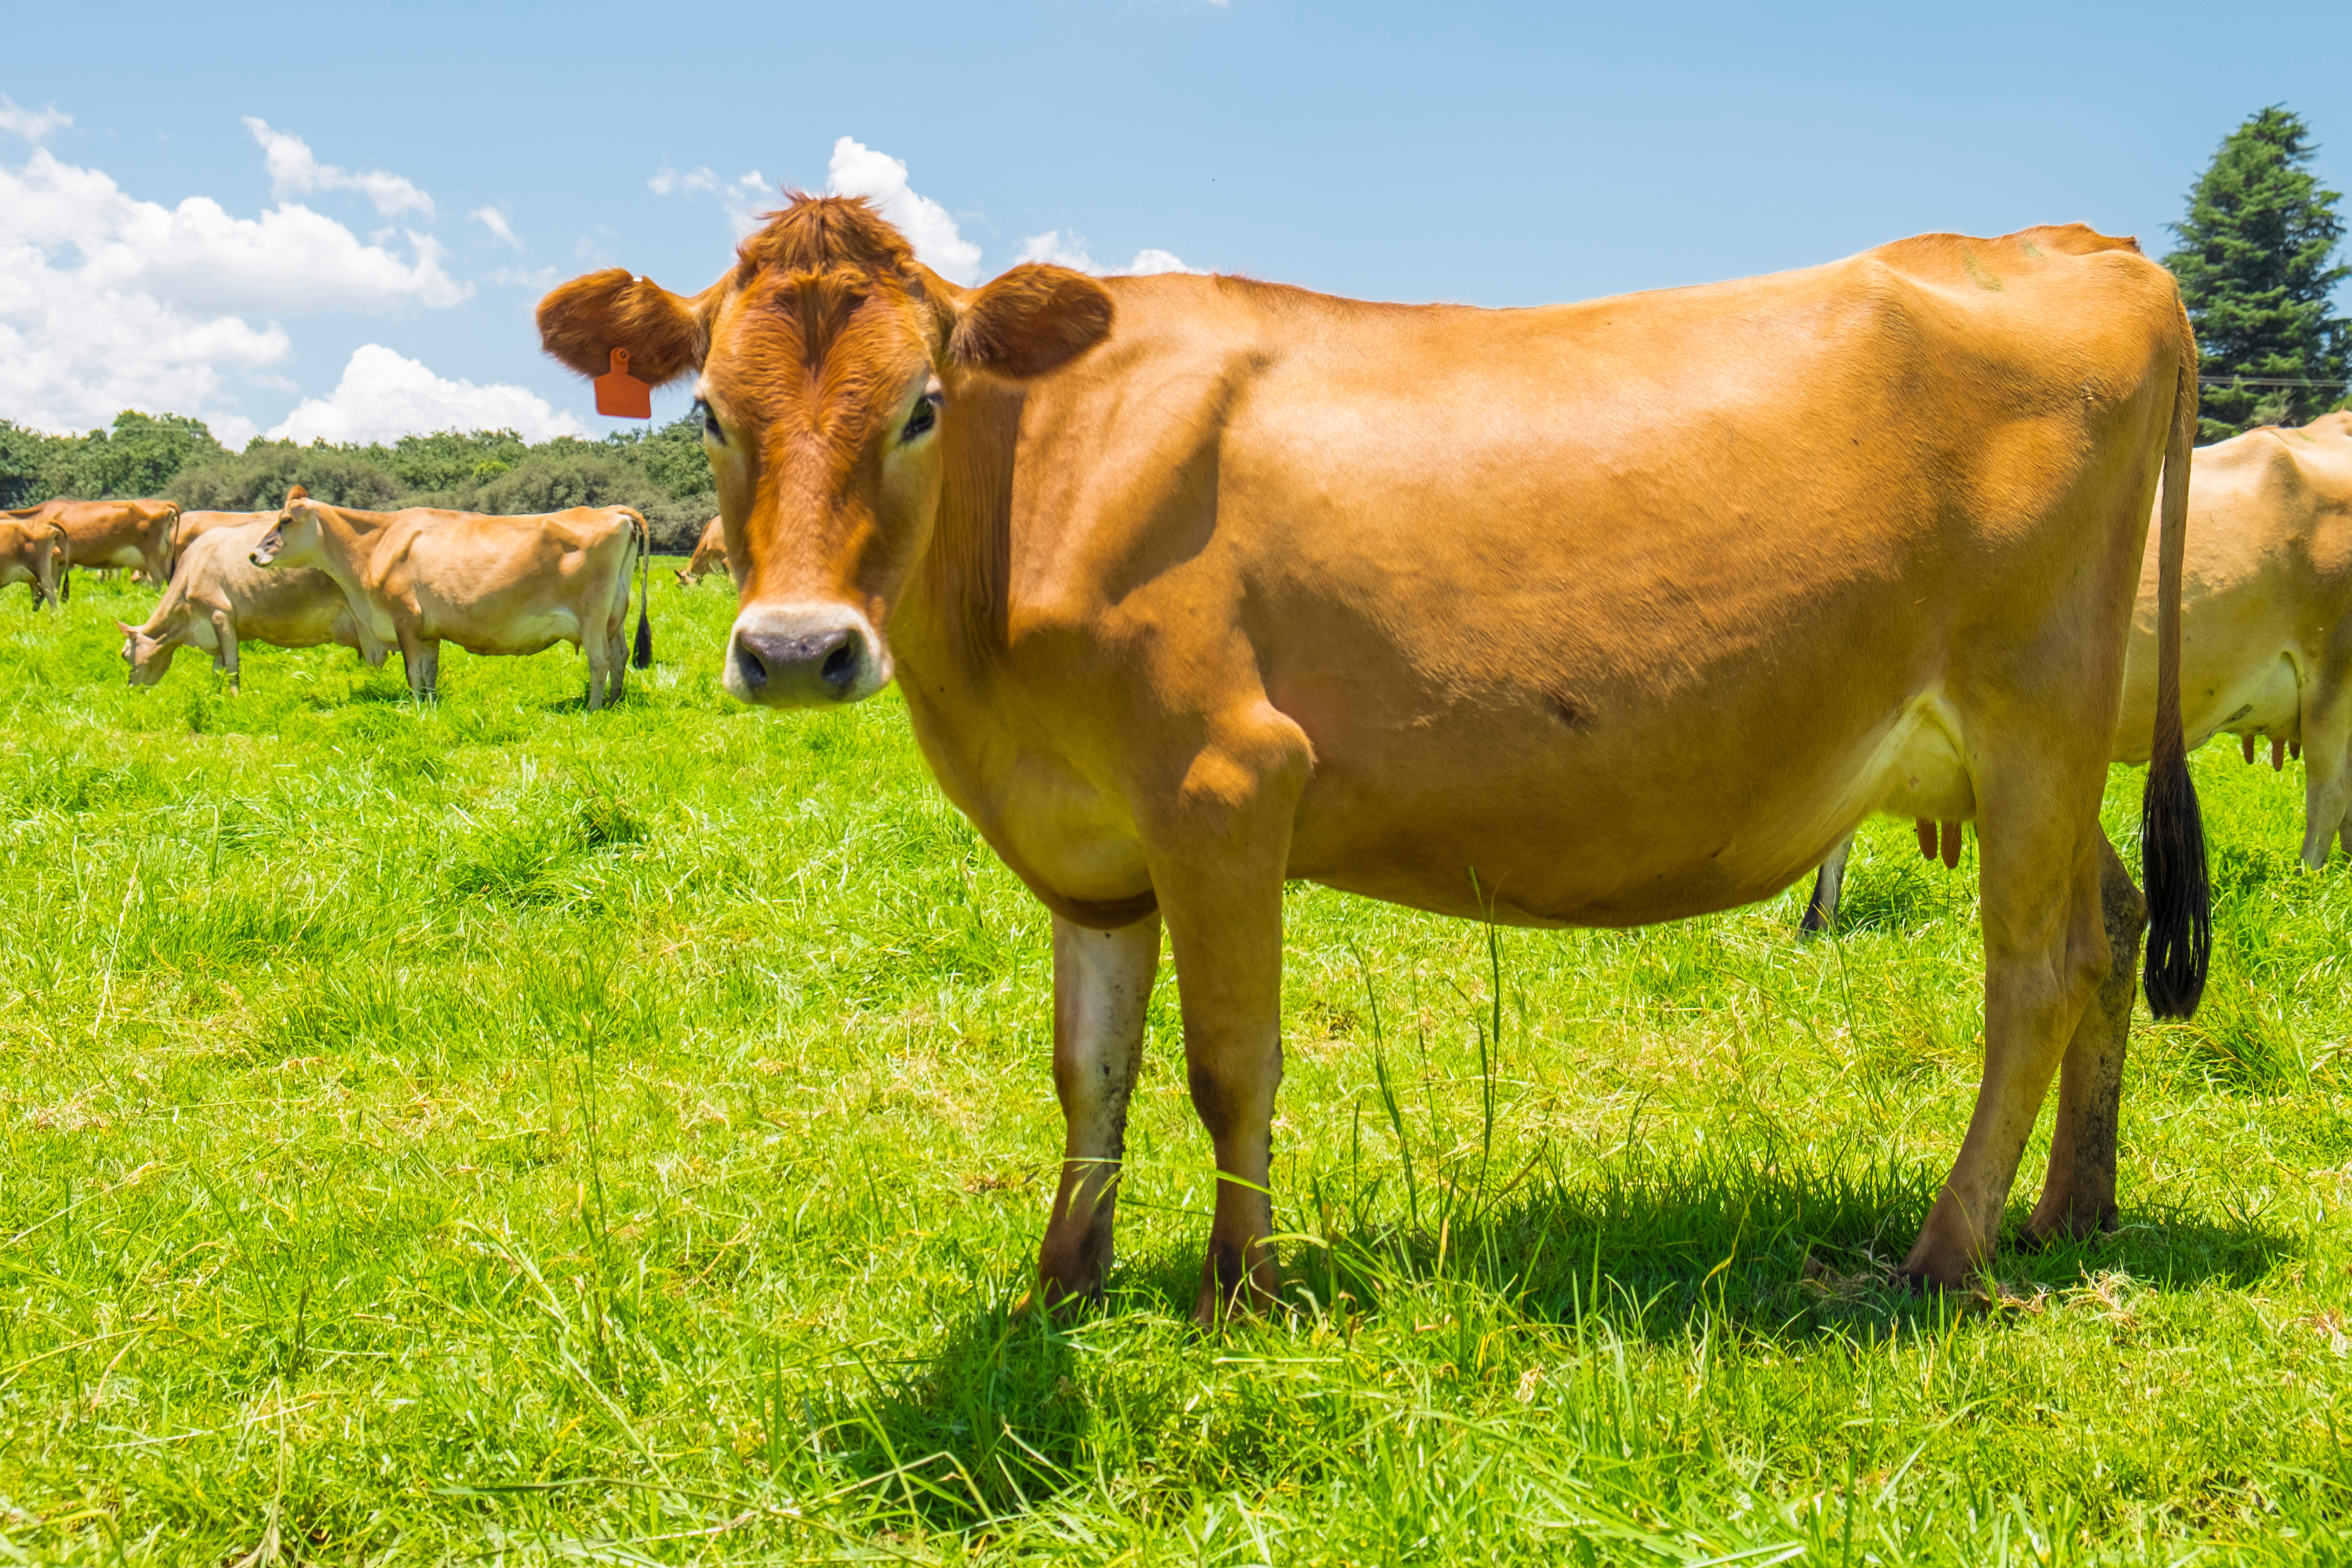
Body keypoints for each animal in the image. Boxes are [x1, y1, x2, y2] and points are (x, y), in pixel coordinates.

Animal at [7, 499, 181, 599]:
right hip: (165, 556)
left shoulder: (51, 559)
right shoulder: (60, 561)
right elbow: (55, 585)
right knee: (168, 577)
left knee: (157, 579)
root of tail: (163, 503)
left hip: (151, 555)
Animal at [118, 516, 388, 692]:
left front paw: (234, 699)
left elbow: (231, 666)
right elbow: (218, 669)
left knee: (376, 657)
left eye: (124, 655)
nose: (130, 687)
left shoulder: (220, 614)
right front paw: (214, 697)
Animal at [249, 497, 652, 708]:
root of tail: (611, 510)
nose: (253, 554)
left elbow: (413, 672)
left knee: (600, 661)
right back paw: (614, 702)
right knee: (620, 655)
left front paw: (416, 709)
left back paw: (594, 708)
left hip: (592, 615)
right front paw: (430, 706)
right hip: (614, 616)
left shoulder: (405, 619)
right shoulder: (428, 630)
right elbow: (429, 671)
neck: (376, 546)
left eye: (285, 521)